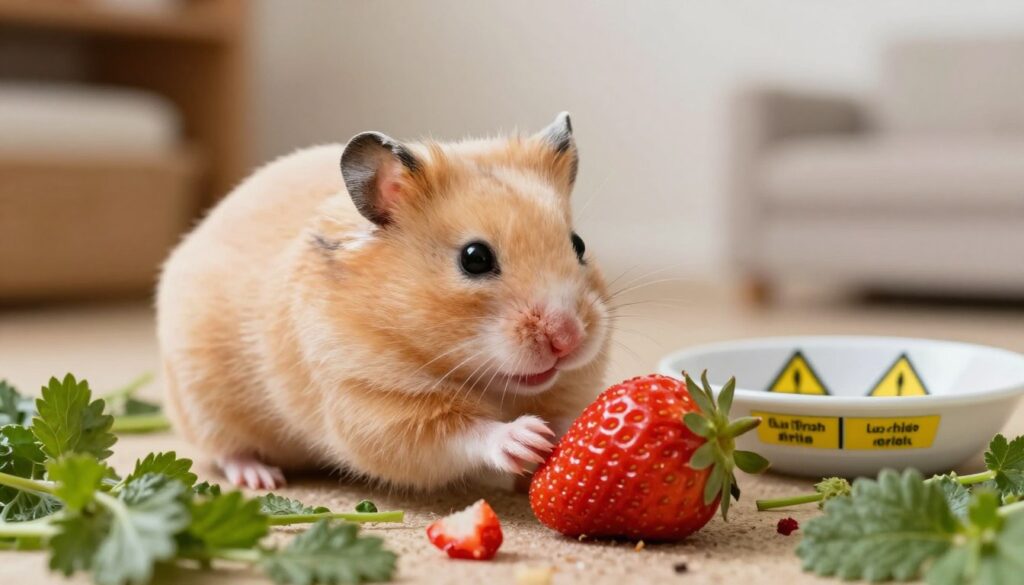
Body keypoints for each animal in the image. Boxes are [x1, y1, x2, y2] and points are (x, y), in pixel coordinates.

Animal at [156, 113, 610, 490]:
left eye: (579, 244)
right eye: (475, 258)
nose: (568, 339)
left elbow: (567, 412)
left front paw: (561, 433)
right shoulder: (371, 405)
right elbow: (460, 433)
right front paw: (527, 437)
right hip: (204, 403)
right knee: (225, 451)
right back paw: (261, 478)